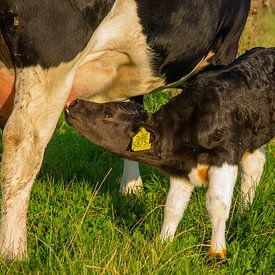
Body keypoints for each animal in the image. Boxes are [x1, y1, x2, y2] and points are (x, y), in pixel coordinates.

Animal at [0, 0, 251, 260]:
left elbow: (132, 112)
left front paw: (131, 188)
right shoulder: (227, 46)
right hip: (53, 58)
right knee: (23, 142)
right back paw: (14, 252)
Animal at [66, 48, 275, 260]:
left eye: (108, 112)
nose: (74, 103)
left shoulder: (225, 155)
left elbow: (217, 204)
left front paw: (217, 253)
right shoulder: (180, 169)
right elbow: (173, 207)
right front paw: (162, 245)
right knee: (253, 169)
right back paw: (244, 213)